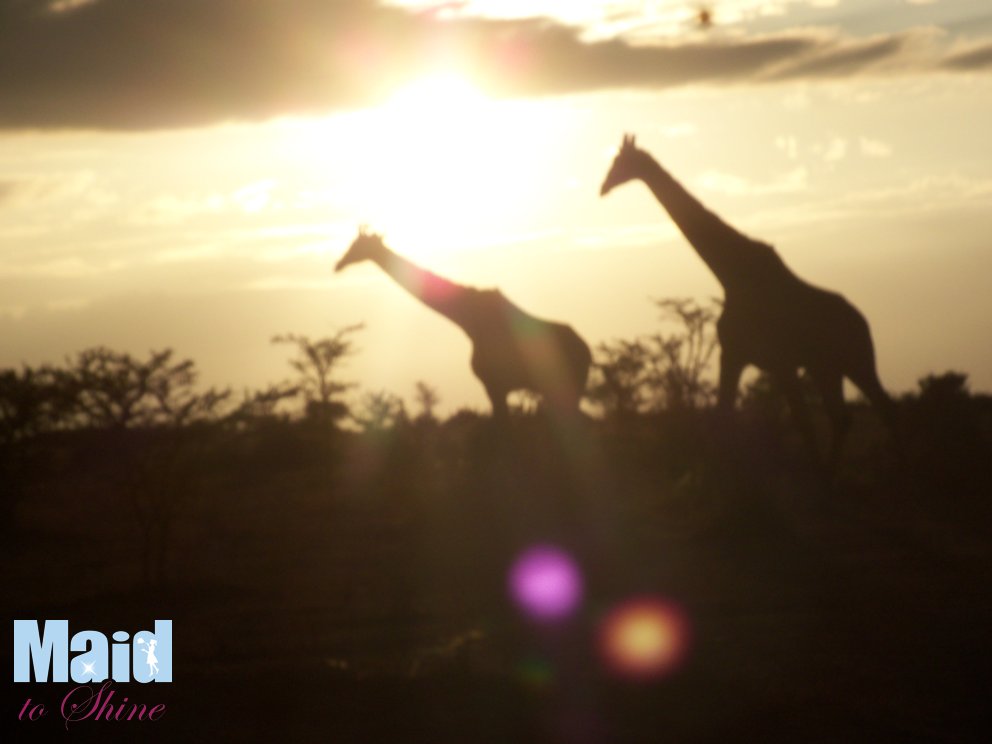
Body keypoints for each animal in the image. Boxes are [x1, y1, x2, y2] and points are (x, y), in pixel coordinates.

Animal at [338, 227, 592, 418]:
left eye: (358, 245)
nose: (338, 264)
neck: (468, 321)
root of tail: (588, 352)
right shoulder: (498, 388)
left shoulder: (494, 385)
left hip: (568, 389)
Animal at [600, 135, 896, 464]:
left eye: (620, 161)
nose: (603, 187)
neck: (731, 275)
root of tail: (863, 321)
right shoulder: (738, 355)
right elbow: (724, 418)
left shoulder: (771, 360)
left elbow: (798, 424)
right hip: (826, 367)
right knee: (843, 417)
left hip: (857, 361)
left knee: (884, 409)